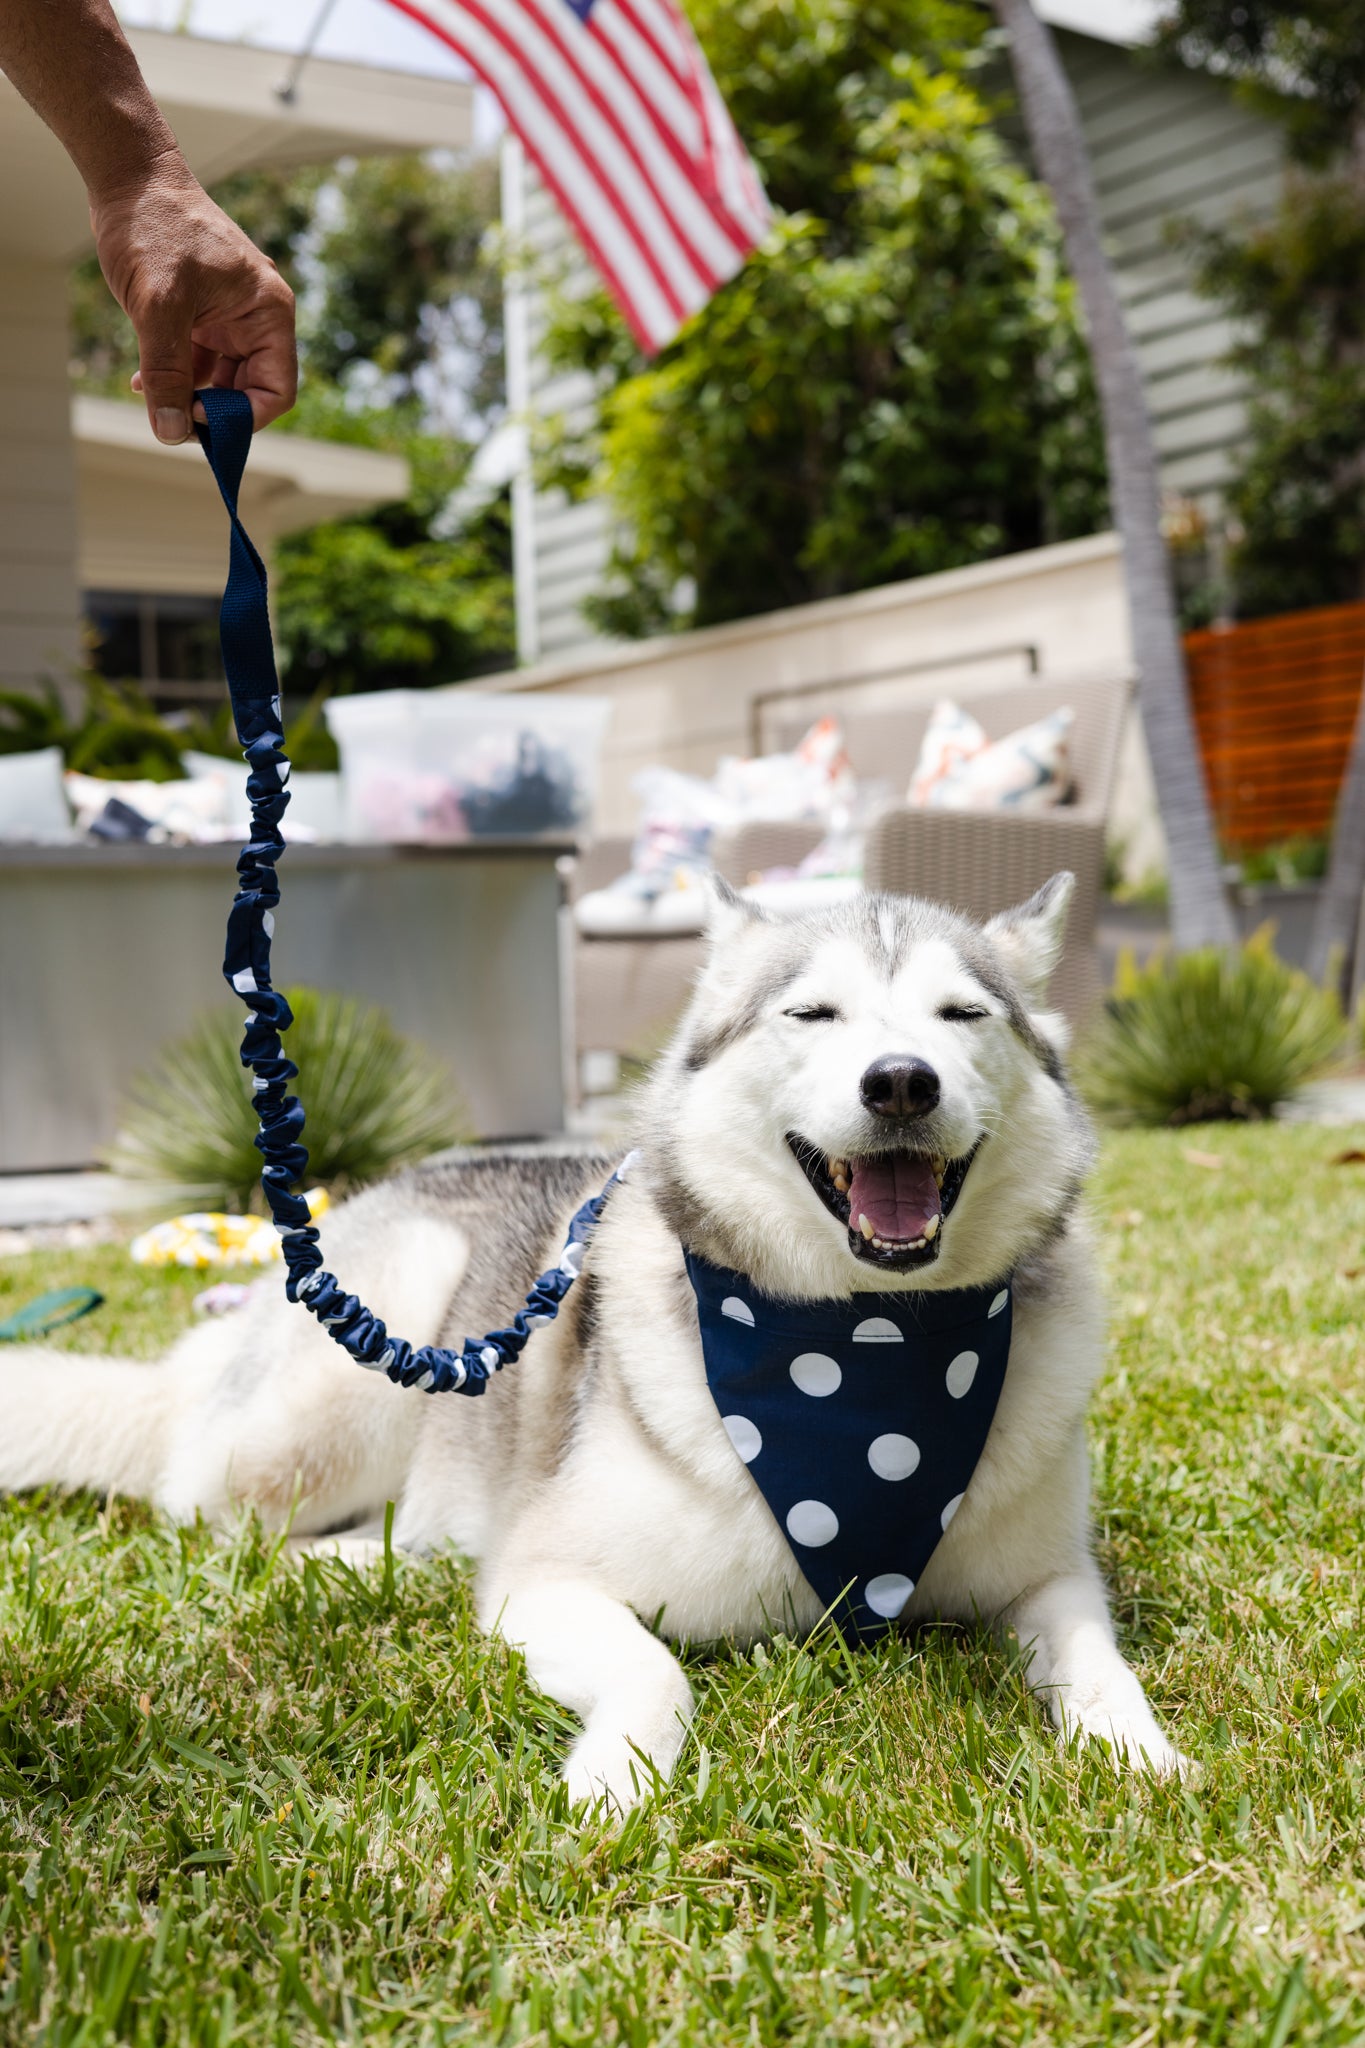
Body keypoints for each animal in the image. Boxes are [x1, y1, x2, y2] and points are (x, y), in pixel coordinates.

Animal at [0, 872, 1186, 1802]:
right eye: (813, 1014)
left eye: (962, 1012)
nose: (901, 1079)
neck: (865, 1357)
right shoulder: (544, 1581)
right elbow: (655, 1668)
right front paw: (615, 1780)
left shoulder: (1050, 1577)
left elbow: (1096, 1650)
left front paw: (1139, 1751)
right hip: (364, 1353)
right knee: (209, 1509)